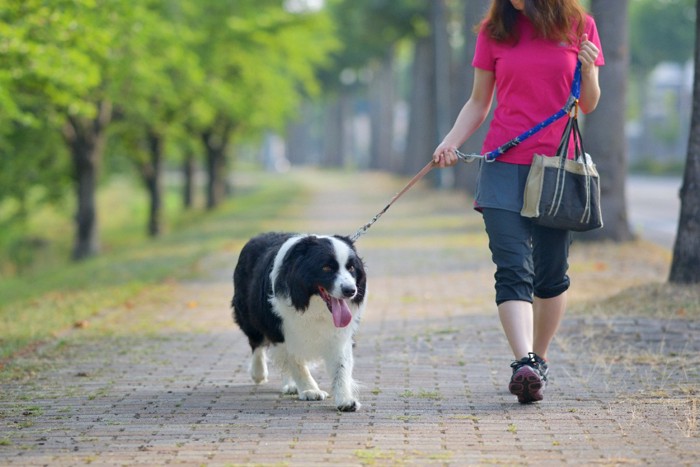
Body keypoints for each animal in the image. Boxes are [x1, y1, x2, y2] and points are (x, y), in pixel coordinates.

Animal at [232, 232, 370, 412]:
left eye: (351, 268)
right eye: (326, 268)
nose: (350, 290)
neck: (313, 304)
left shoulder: (339, 334)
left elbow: (341, 366)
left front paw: (345, 399)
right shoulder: (282, 330)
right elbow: (296, 362)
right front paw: (310, 390)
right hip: (249, 312)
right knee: (256, 341)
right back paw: (259, 372)